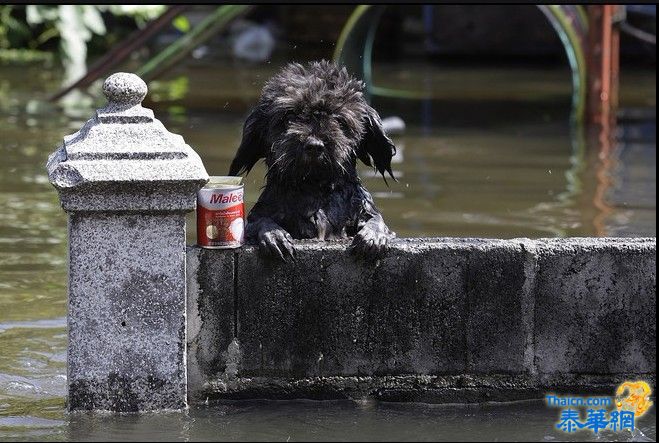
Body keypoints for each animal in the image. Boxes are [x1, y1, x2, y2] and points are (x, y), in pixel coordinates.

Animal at [229, 59, 398, 260]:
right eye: (290, 116)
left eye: (339, 119)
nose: (314, 145)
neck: (315, 187)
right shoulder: (261, 214)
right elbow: (259, 221)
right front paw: (274, 236)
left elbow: (376, 218)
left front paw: (373, 237)